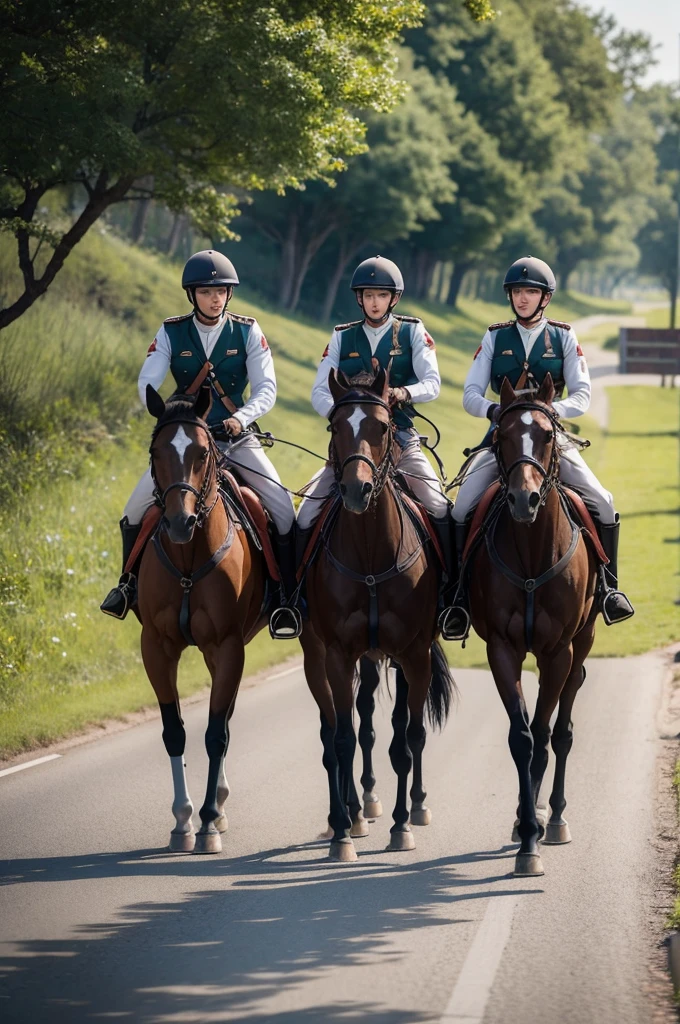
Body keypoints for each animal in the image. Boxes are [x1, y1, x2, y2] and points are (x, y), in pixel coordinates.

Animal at [137, 382, 266, 847]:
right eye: (156, 452)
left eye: (201, 452)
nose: (180, 522)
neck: (188, 559)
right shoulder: (156, 647)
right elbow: (174, 731)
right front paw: (182, 820)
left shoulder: (227, 646)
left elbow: (215, 733)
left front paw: (208, 819)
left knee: (223, 720)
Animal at [299, 368, 454, 864]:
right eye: (335, 426)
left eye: (382, 426)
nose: (356, 490)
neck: (369, 553)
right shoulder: (337, 655)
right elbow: (343, 738)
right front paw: (343, 832)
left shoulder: (414, 654)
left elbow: (408, 740)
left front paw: (403, 825)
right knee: (353, 725)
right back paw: (356, 808)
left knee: (401, 726)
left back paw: (412, 806)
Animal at [464, 372, 598, 876]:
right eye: (501, 436)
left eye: (546, 434)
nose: (526, 499)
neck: (531, 553)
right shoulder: (502, 650)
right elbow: (521, 738)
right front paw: (525, 834)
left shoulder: (558, 652)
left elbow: (544, 735)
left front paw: (535, 832)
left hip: (582, 644)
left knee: (563, 731)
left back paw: (552, 816)